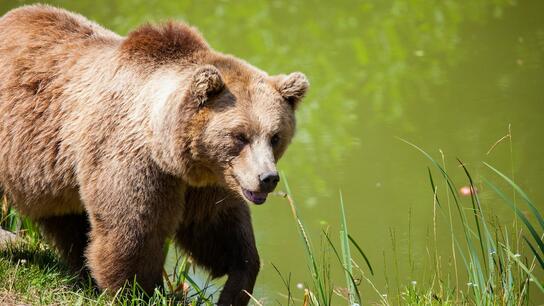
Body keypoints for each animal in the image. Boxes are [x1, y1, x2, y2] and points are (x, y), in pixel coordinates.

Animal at [0, 4, 308, 306]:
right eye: (239, 136)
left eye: (275, 136)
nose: (267, 178)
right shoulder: (132, 160)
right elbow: (133, 231)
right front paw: (140, 291)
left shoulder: (208, 181)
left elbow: (218, 229)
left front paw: (236, 285)